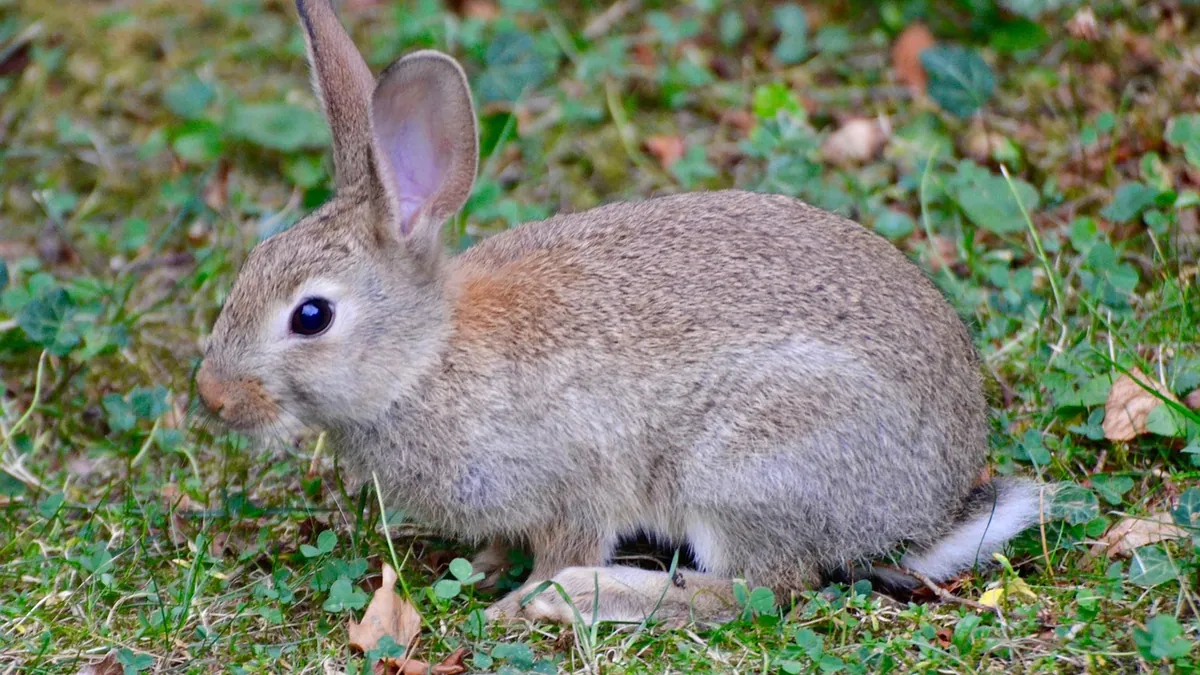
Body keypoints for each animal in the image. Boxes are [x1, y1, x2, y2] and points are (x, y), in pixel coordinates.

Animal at [194, 0, 1054, 625]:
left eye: (311, 316)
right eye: (251, 265)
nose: (212, 397)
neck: (423, 359)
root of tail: (931, 508)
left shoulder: (574, 479)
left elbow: (567, 539)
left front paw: (514, 603)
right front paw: (487, 570)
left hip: (744, 466)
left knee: (761, 590)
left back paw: (584, 596)